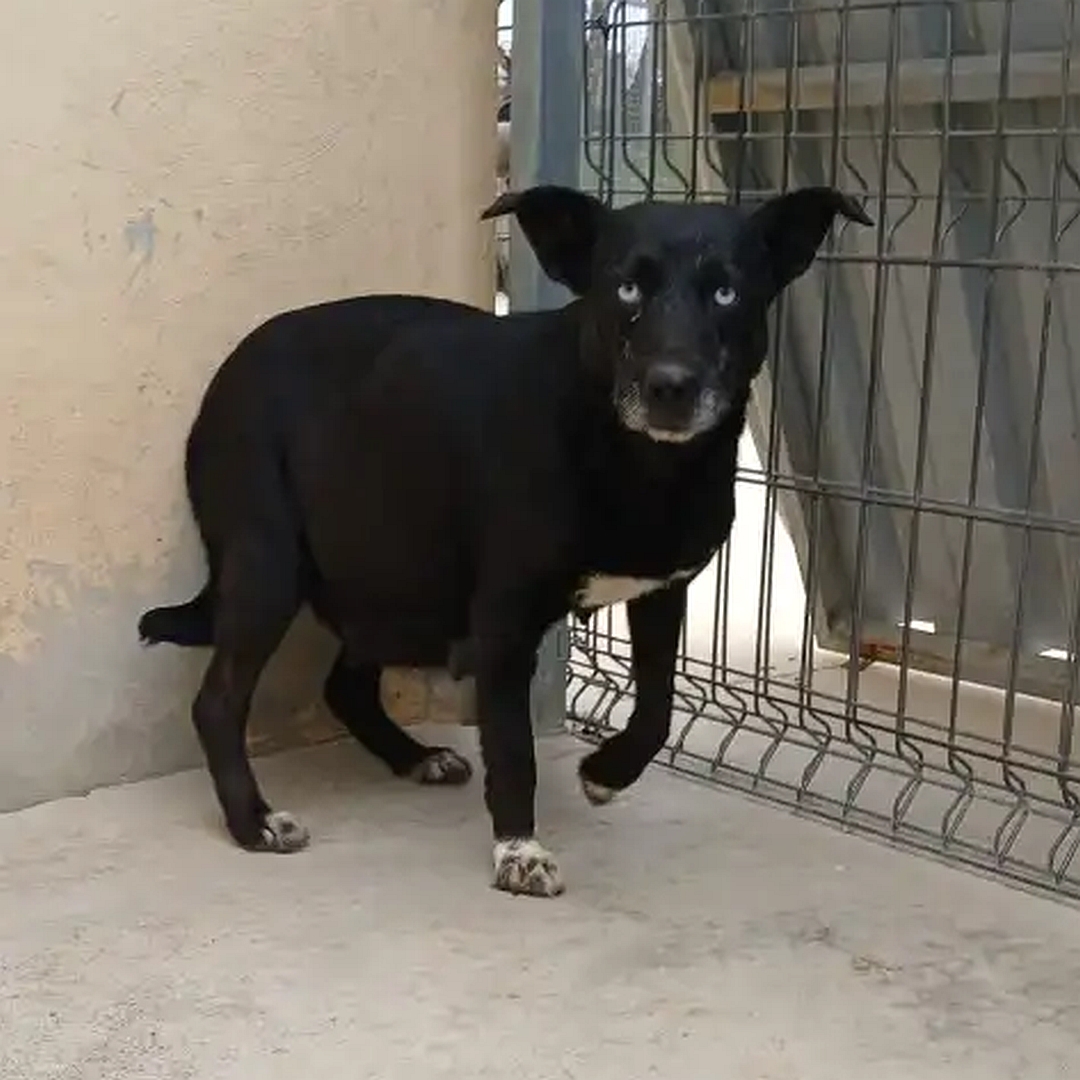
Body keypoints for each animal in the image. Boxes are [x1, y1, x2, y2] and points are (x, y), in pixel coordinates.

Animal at [141, 183, 868, 894]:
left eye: (726, 292)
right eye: (626, 288)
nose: (670, 385)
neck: (639, 464)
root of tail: (231, 368)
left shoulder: (662, 592)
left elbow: (658, 709)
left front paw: (606, 771)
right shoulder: (504, 620)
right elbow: (515, 749)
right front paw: (518, 850)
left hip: (399, 578)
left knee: (345, 685)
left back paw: (414, 757)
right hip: (274, 563)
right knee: (218, 703)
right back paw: (253, 820)